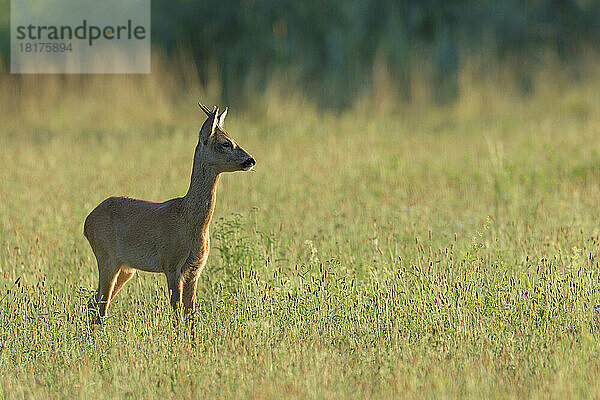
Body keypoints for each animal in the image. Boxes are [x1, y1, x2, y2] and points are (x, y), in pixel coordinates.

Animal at [84, 103, 253, 322]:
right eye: (225, 143)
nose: (251, 160)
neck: (189, 222)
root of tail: (87, 221)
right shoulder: (171, 264)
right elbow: (176, 312)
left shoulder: (195, 270)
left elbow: (190, 314)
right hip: (106, 256)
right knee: (100, 305)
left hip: (126, 268)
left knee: (94, 302)